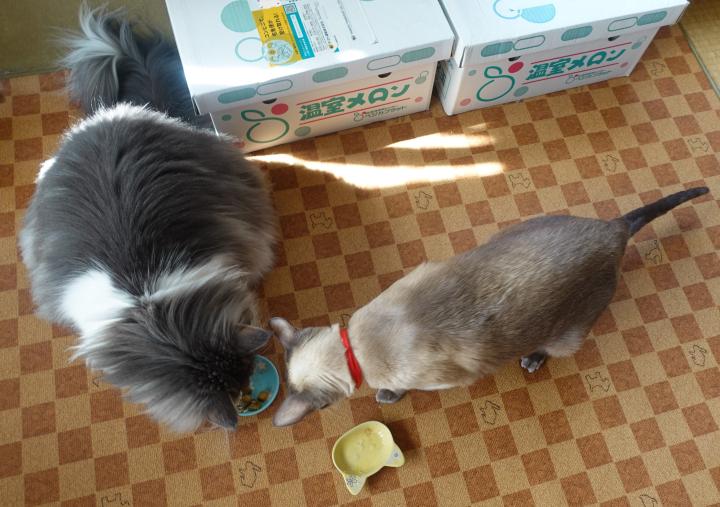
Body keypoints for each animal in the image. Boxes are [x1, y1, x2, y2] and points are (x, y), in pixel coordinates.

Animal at [269, 187, 709, 426]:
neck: (355, 348)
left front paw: (388, 396)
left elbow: (401, 387)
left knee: (553, 347)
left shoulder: (436, 378)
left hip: (566, 335)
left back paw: (533, 359)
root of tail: (612, 229)